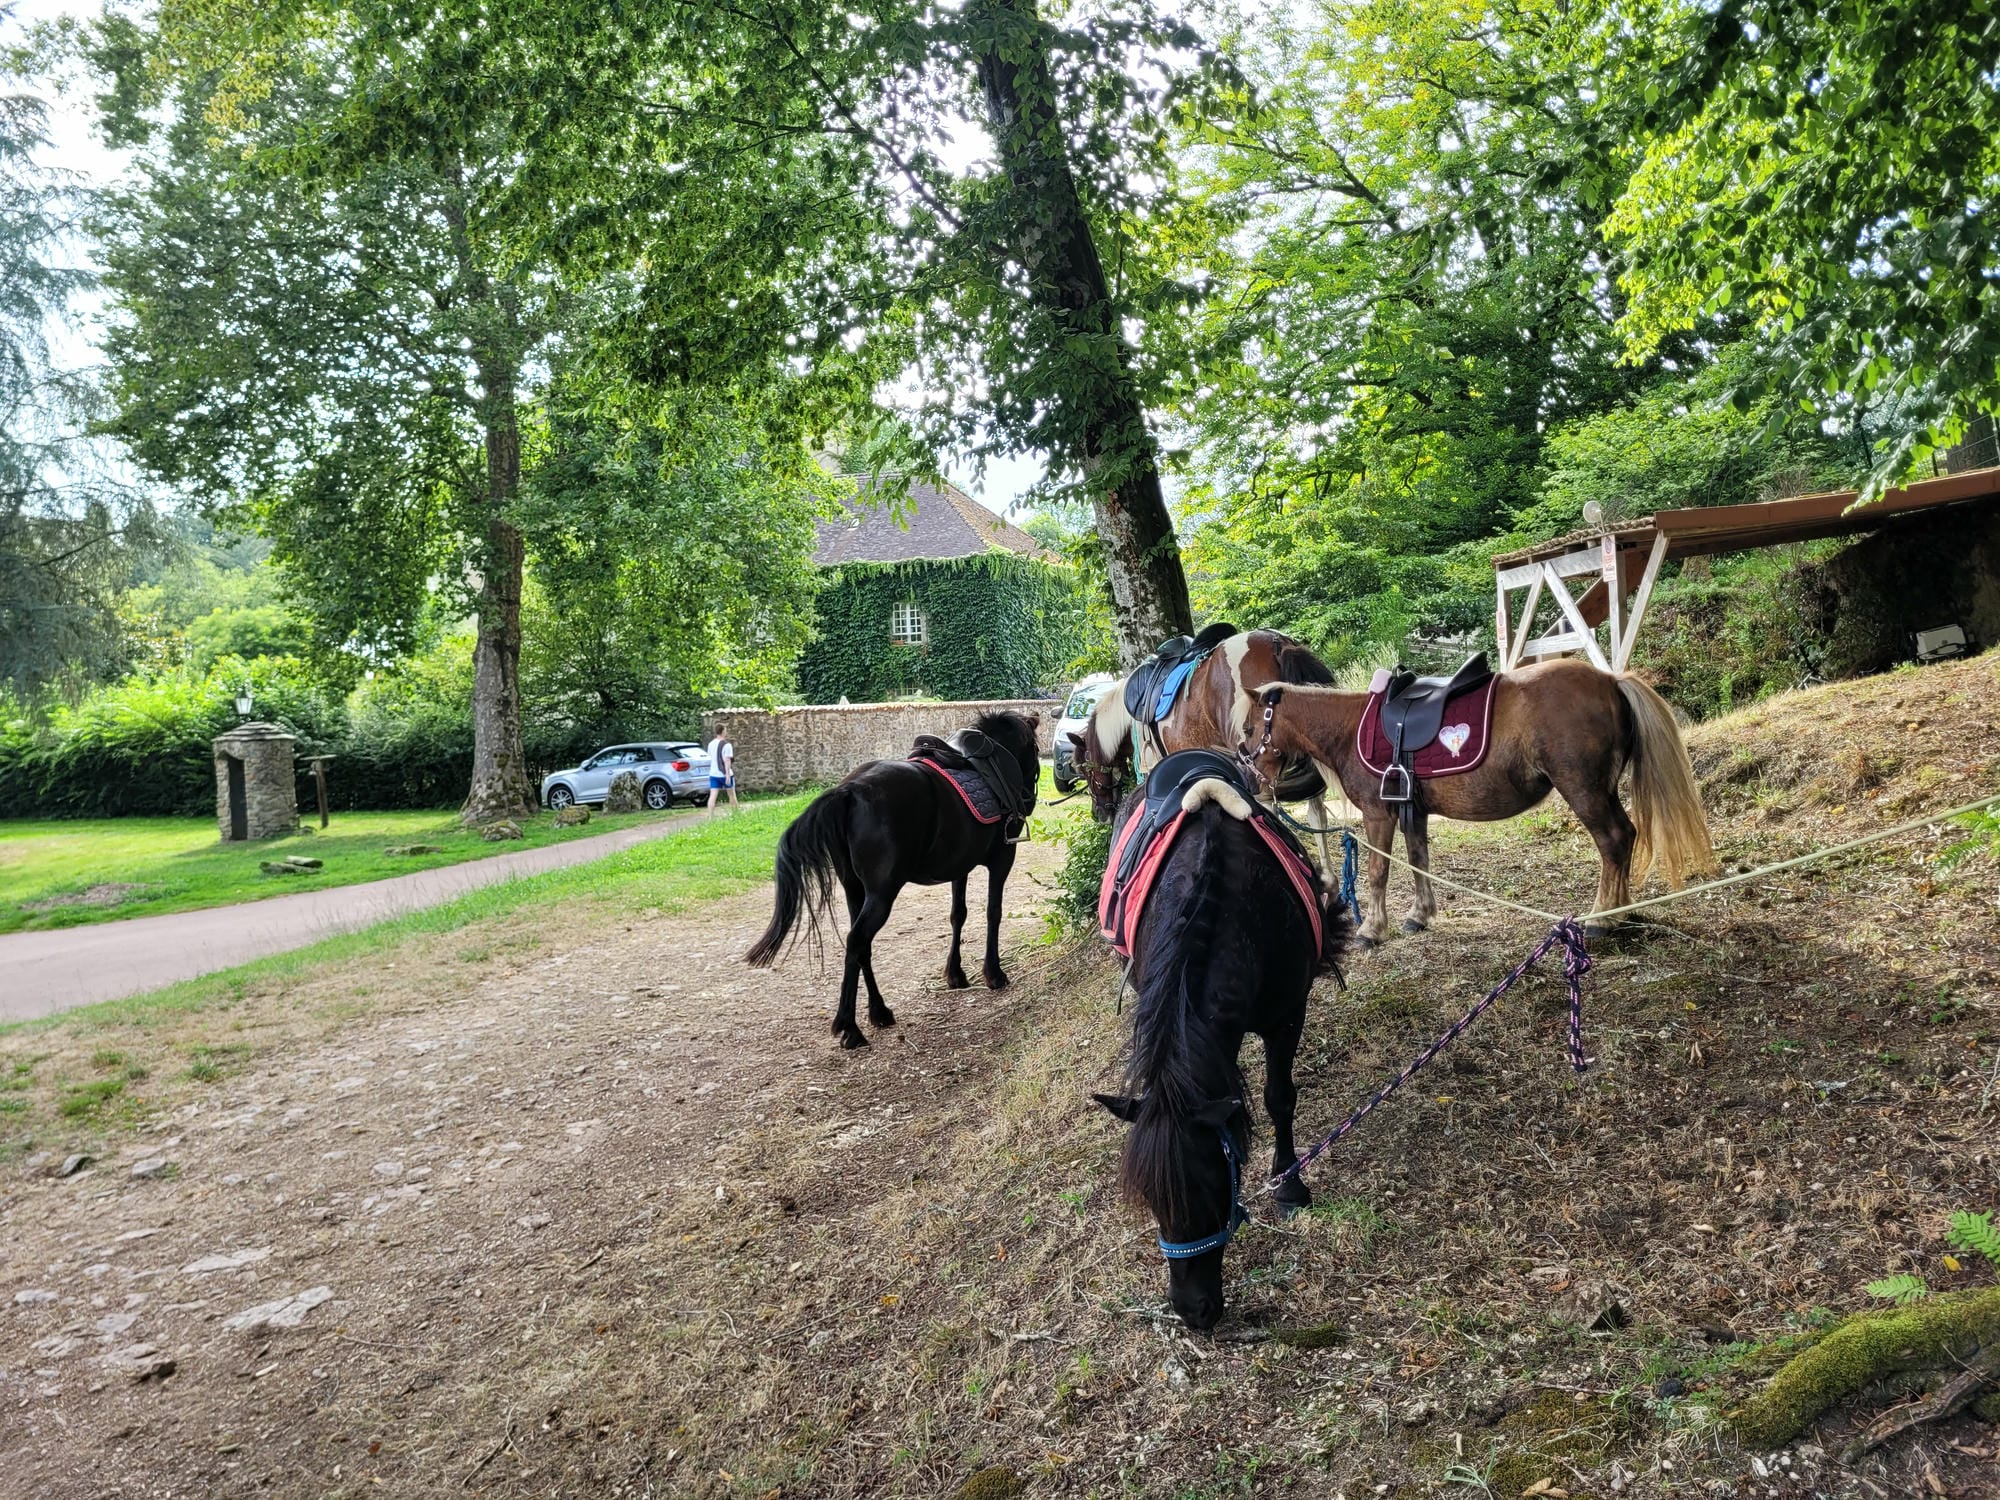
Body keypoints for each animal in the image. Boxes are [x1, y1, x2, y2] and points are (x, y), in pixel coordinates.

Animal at [745, 710, 1041, 1049]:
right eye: (1034, 749)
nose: (1028, 798)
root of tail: (849, 791)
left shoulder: (960, 867)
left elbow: (958, 915)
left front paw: (955, 974)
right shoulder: (1002, 859)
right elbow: (993, 913)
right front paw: (993, 973)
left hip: (854, 889)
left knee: (860, 946)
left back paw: (879, 1011)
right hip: (881, 894)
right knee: (857, 940)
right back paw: (850, 1027)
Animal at [1093, 765, 1352, 1331]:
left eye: (1215, 1189)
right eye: (1152, 1201)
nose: (1193, 1311)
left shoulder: (1286, 1015)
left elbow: (1280, 1097)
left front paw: (1289, 1187)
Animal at [1242, 659, 1717, 944]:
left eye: (1248, 728)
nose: (1249, 777)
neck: (1349, 727)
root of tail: (1611, 680)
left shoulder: (1379, 814)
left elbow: (1378, 872)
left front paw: (1373, 930)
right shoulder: (1413, 812)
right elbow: (1419, 861)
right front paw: (1419, 915)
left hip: (1584, 790)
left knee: (1614, 840)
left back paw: (1603, 917)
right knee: (1626, 837)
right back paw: (1623, 912)